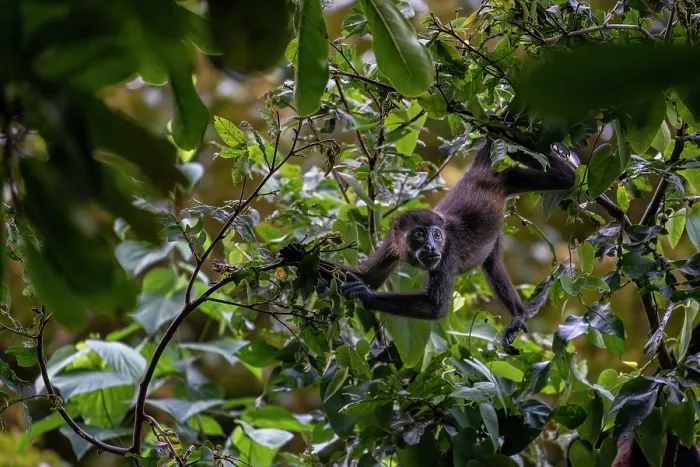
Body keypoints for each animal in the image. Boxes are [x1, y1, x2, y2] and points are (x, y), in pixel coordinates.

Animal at [281, 138, 576, 354]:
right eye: (420, 234)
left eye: (437, 235)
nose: (432, 248)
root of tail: (479, 172)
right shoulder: (392, 244)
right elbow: (370, 276)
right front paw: (297, 254)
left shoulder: (449, 253)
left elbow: (435, 306)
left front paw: (363, 293)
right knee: (493, 265)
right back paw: (518, 313)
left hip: (510, 177)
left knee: (565, 178)